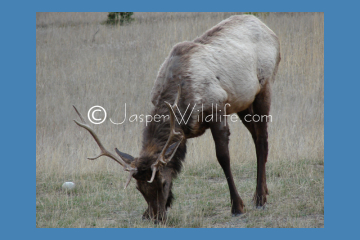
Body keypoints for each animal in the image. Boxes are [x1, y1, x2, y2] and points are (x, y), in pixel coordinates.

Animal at [74, 14, 282, 221]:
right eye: (139, 188)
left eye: (163, 184)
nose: (155, 217)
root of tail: (271, 32)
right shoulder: (182, 133)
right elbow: (175, 161)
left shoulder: (217, 109)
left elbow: (223, 157)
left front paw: (237, 206)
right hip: (243, 102)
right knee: (256, 136)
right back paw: (261, 193)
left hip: (264, 87)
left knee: (262, 139)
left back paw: (260, 198)